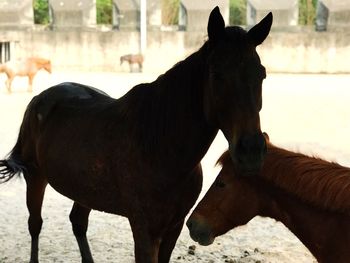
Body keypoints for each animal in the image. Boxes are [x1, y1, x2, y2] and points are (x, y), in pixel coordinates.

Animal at [0, 6, 272, 263]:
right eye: (216, 74)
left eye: (261, 74)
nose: (251, 152)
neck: (162, 149)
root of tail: (40, 98)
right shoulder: (145, 231)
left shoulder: (173, 228)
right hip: (36, 176)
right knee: (35, 225)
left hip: (84, 190)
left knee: (78, 222)